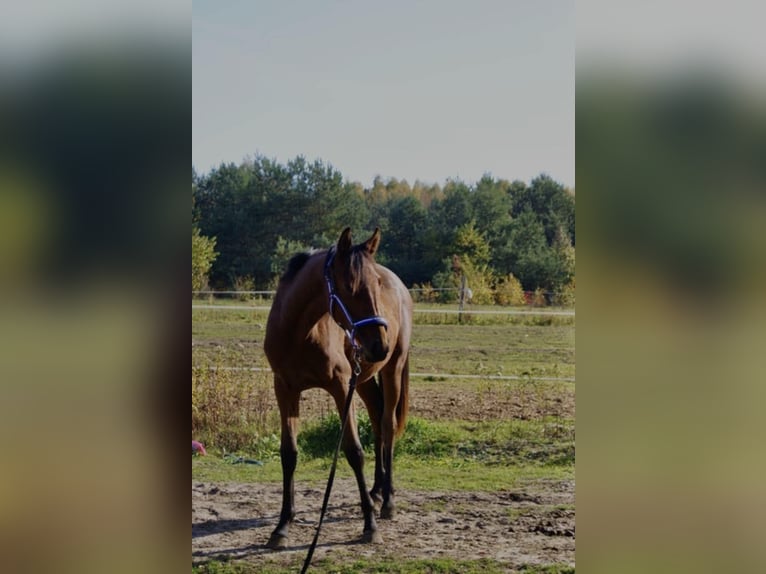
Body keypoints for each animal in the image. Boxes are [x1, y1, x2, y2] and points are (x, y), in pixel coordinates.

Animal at [268, 227, 416, 552]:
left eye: (376, 284)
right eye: (350, 286)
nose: (380, 344)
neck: (299, 333)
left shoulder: (339, 388)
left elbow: (354, 452)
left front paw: (370, 526)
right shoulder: (285, 390)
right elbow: (289, 453)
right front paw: (283, 525)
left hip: (392, 369)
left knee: (387, 426)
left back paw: (387, 501)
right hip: (364, 380)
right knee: (377, 418)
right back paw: (376, 491)